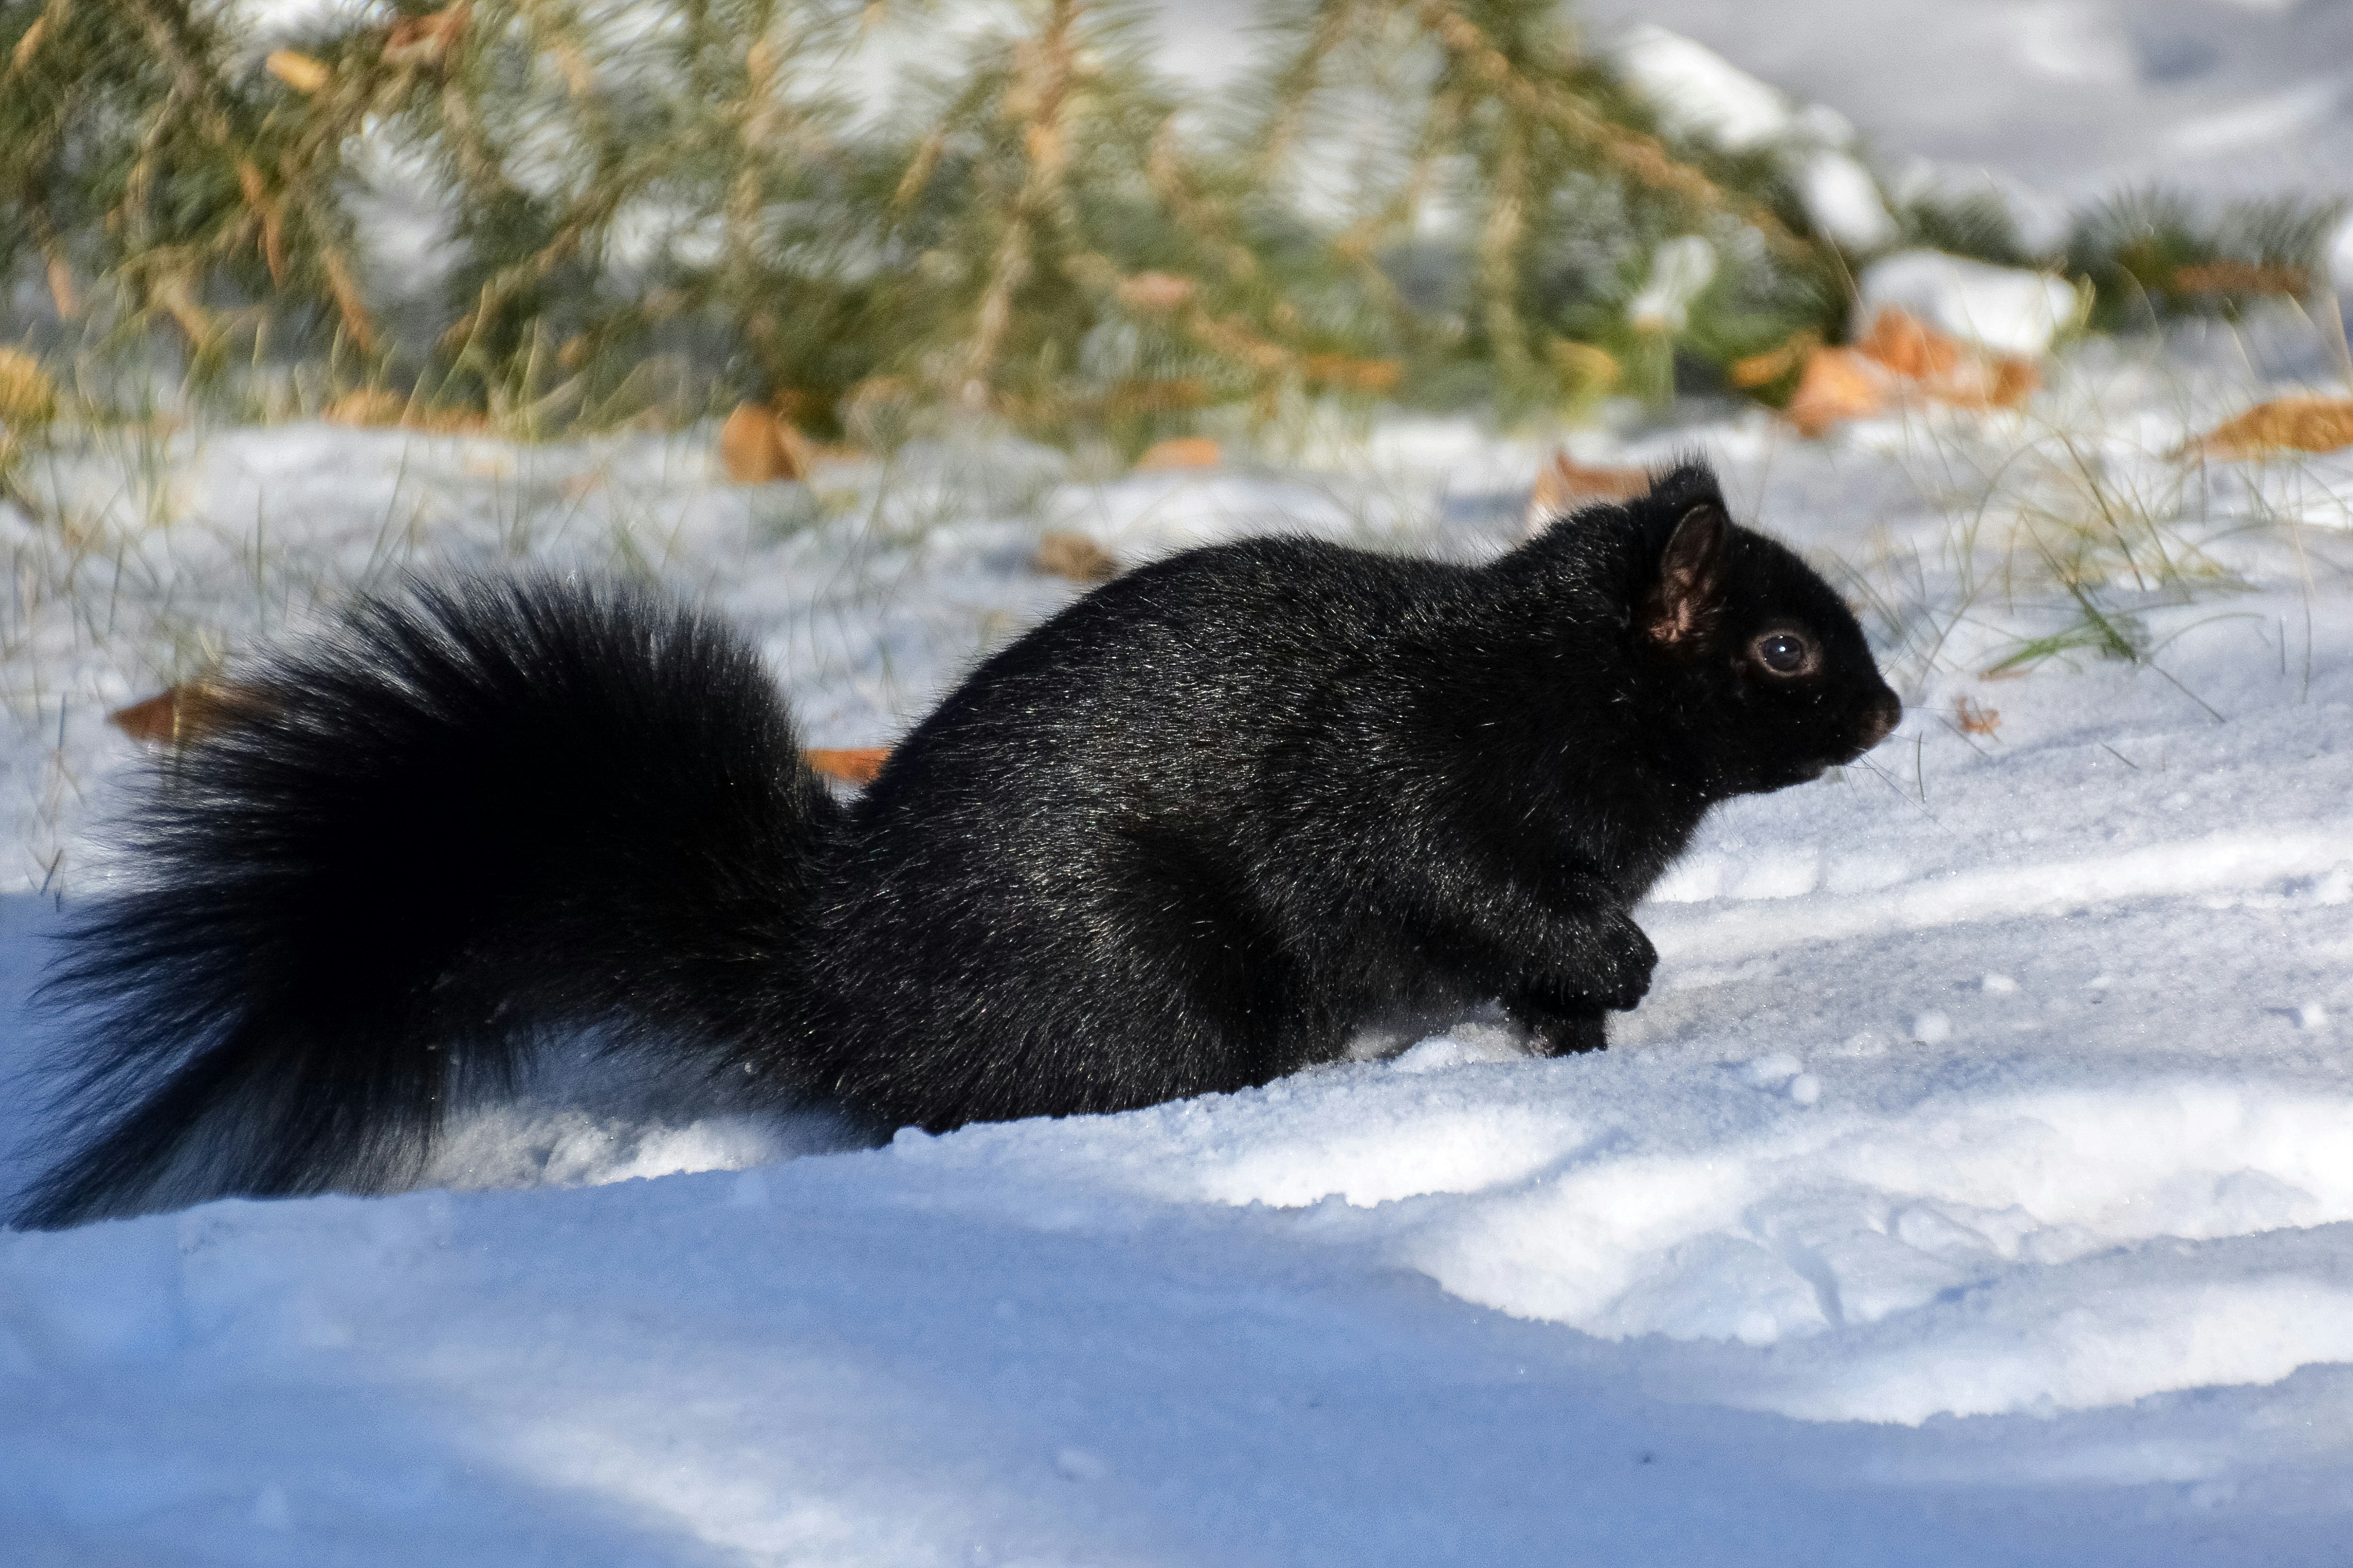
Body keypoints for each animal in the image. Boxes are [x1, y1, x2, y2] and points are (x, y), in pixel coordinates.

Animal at [14, 461, 1892, 1232]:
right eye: (1784, 649)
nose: (1885, 710)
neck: (1574, 687)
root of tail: (819, 972)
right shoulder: (1408, 772)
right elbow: (1449, 875)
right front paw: (1622, 968)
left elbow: (1533, 965)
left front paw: (1585, 1044)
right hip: (1145, 971)